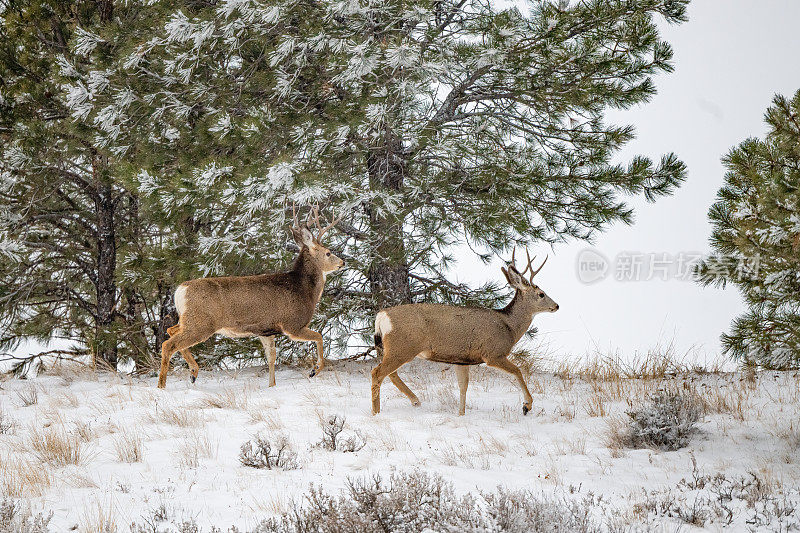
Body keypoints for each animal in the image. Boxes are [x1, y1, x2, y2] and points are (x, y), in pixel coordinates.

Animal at [157, 207, 344, 386]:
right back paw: (162, 385)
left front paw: (272, 385)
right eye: (328, 253)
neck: (304, 289)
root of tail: (180, 290)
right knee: (168, 344)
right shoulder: (292, 324)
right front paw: (314, 370)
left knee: (171, 330)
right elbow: (319, 336)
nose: (342, 262)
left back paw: (193, 373)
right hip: (201, 323)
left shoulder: (266, 330)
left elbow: (271, 358)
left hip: (189, 320)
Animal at [372, 249, 560, 416]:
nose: (557, 305)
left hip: (392, 348)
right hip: (403, 346)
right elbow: (518, 371)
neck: (509, 326)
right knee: (378, 373)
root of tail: (381, 316)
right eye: (541, 294)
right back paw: (376, 412)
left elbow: (463, 386)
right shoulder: (493, 353)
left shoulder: (462, 359)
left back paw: (415, 401)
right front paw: (527, 405)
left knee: (390, 373)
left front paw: (461, 414)